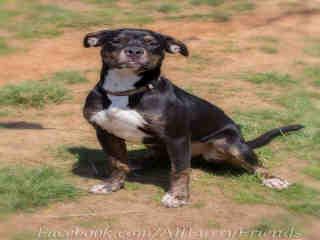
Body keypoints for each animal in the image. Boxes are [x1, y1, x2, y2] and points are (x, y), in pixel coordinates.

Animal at [82, 28, 302, 208]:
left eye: (152, 43)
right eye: (116, 40)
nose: (134, 51)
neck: (125, 90)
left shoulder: (176, 138)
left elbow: (180, 170)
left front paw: (178, 197)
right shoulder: (106, 133)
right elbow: (117, 163)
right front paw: (111, 185)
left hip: (229, 143)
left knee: (257, 164)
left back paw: (273, 179)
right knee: (155, 156)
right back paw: (137, 162)